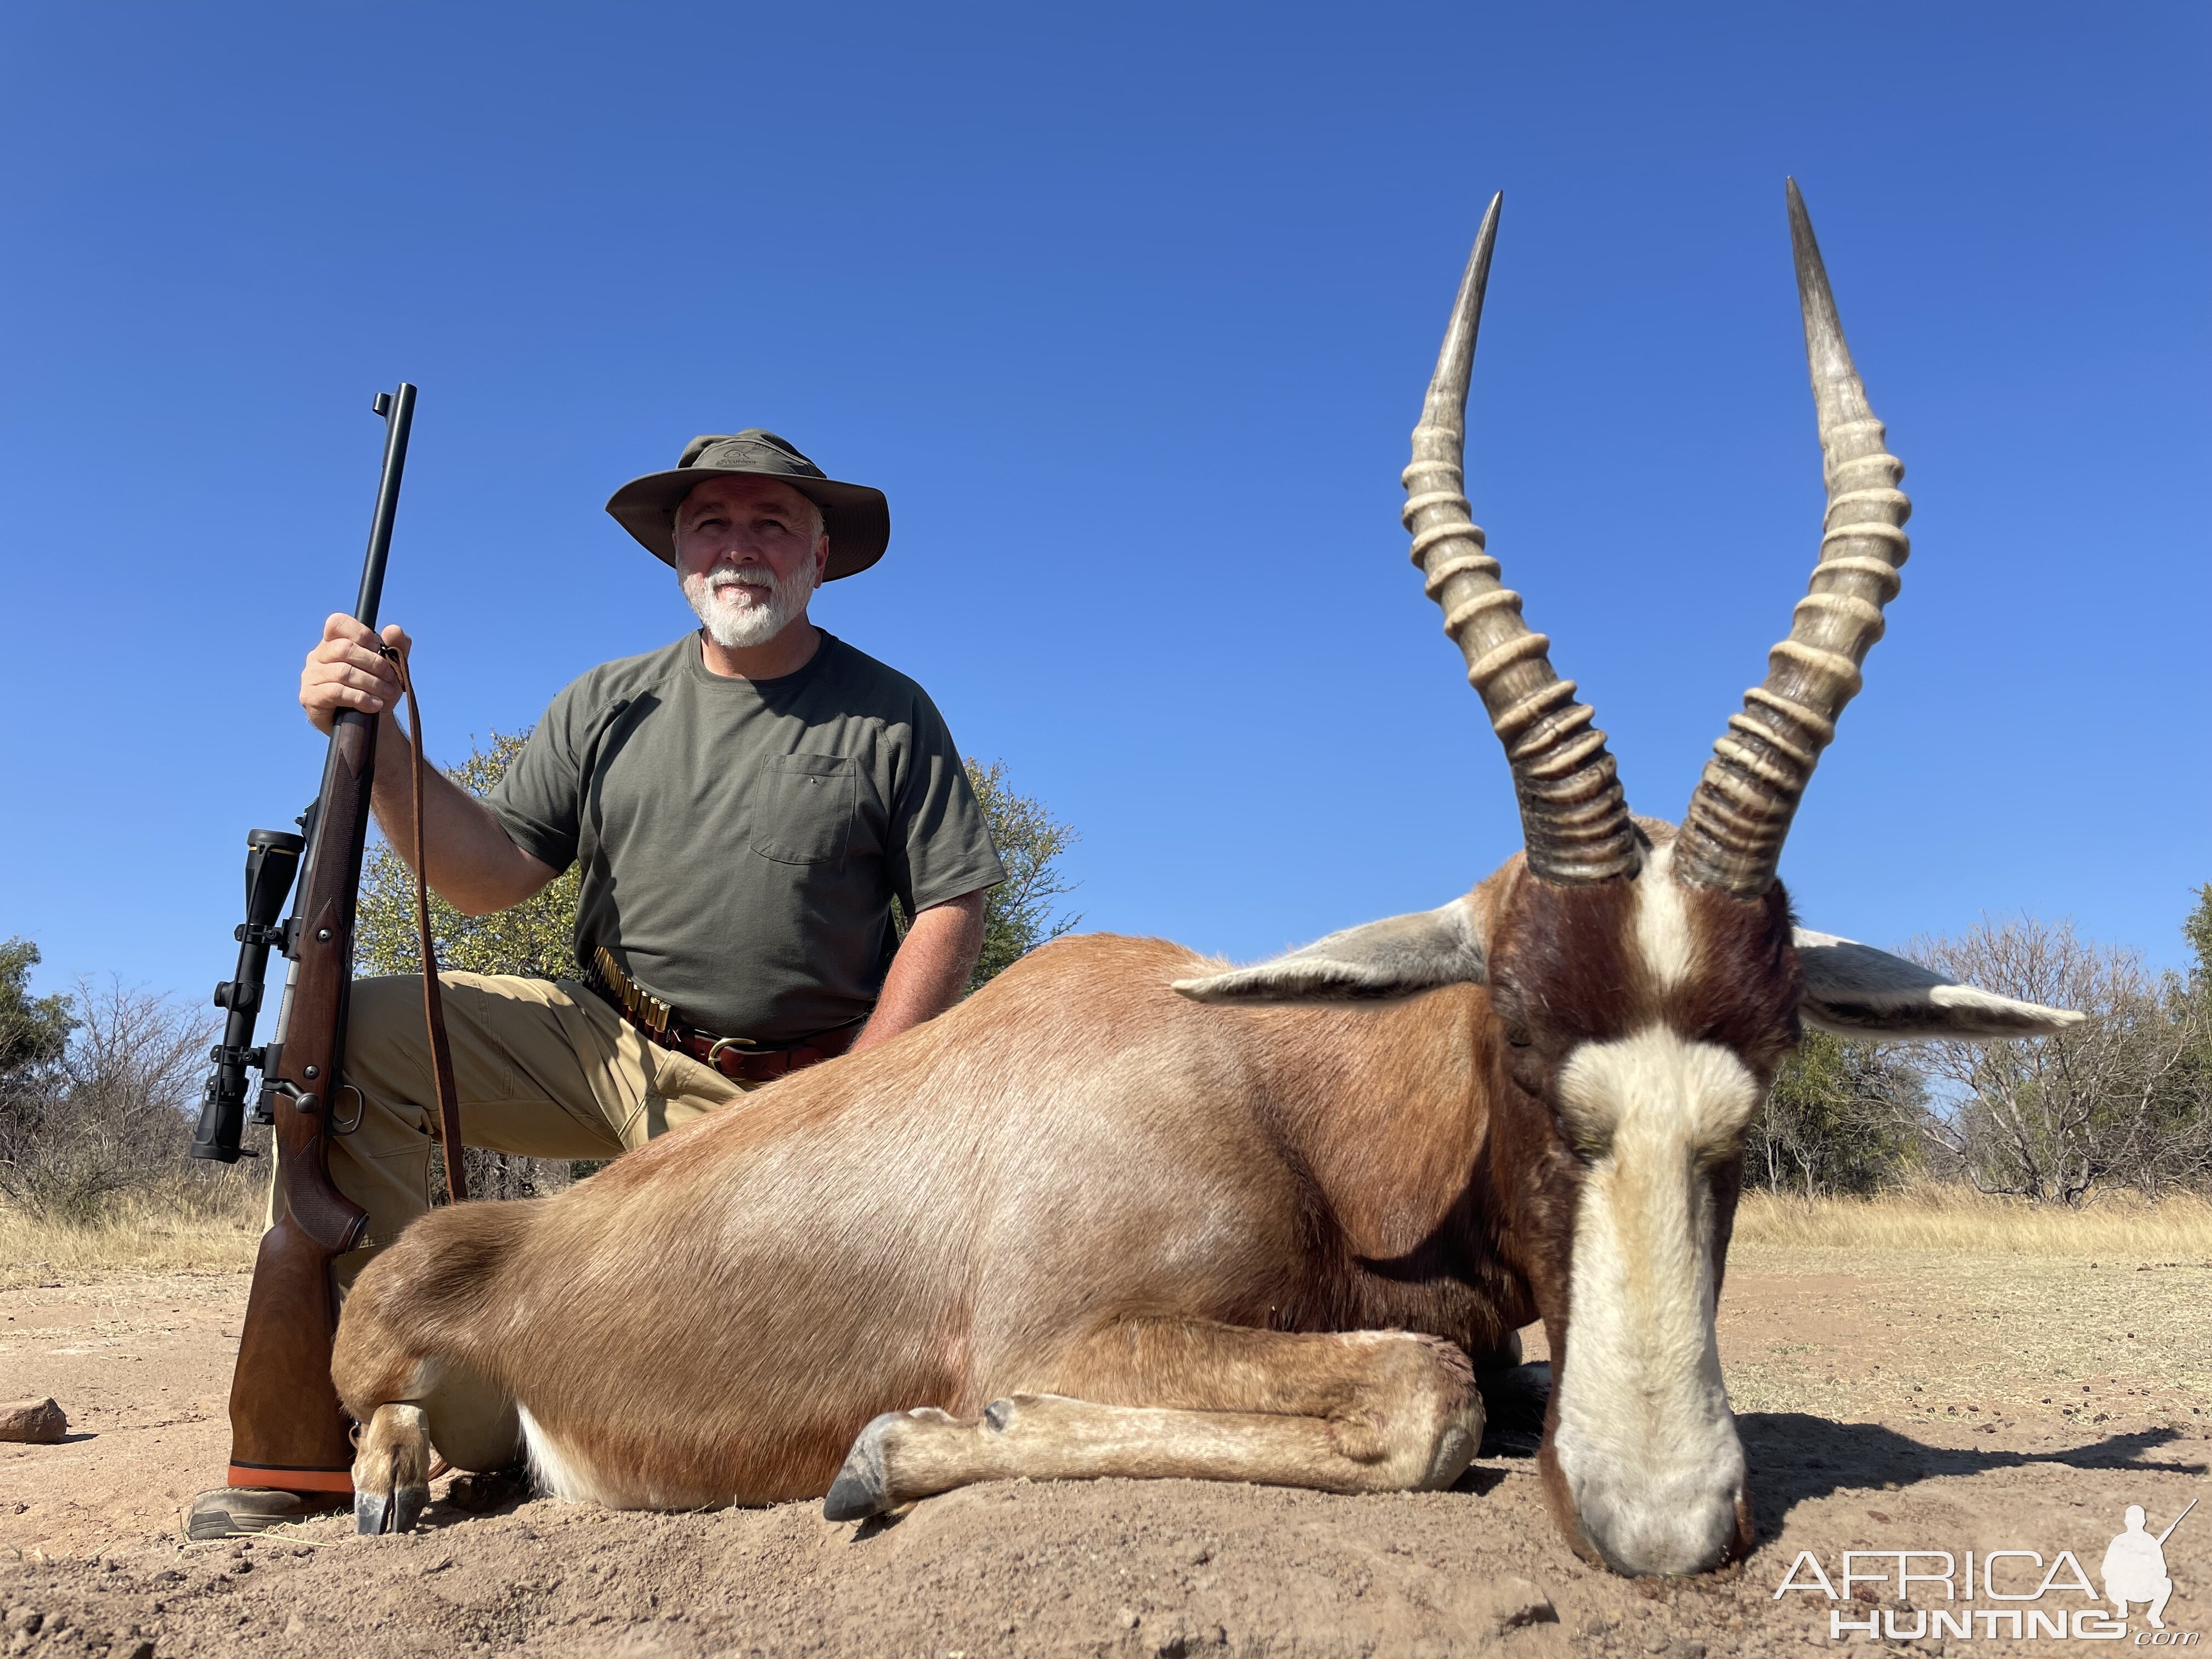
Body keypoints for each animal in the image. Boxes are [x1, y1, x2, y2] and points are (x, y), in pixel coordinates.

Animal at [327, 188, 2070, 1575]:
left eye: (1770, 1070)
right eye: (1514, 1040)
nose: (1663, 1523)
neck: (1272, 1083)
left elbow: (1476, 1379)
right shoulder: (1075, 1330)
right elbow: (1426, 1397)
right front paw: (892, 1454)